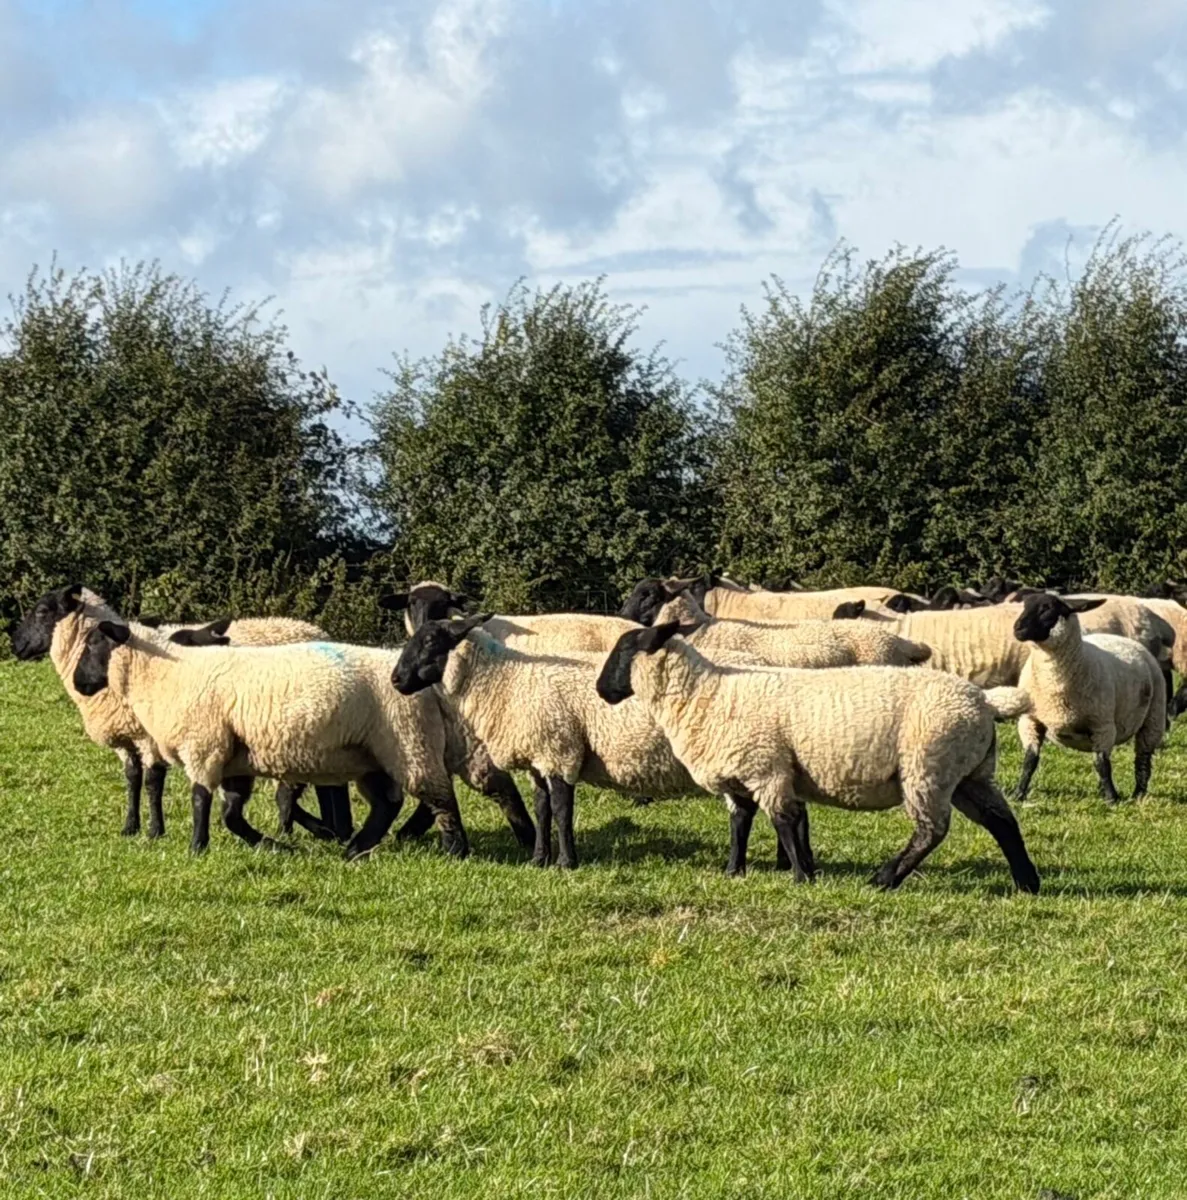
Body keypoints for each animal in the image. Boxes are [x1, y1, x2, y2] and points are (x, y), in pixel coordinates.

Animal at [71, 620, 466, 861]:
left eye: (94, 644)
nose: (79, 684)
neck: (164, 673)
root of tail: (425, 687)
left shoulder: (204, 745)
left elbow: (200, 800)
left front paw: (197, 847)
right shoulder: (232, 757)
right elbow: (231, 815)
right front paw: (275, 846)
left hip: (409, 743)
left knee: (441, 798)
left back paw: (455, 851)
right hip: (375, 755)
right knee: (387, 804)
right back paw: (355, 849)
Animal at [593, 622, 1040, 892]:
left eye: (625, 649)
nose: (601, 690)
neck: (706, 694)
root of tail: (984, 700)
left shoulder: (767, 768)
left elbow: (784, 822)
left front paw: (800, 876)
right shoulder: (743, 775)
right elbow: (741, 824)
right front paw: (734, 871)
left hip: (928, 767)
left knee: (932, 831)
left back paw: (884, 878)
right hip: (969, 772)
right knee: (1002, 821)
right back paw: (1027, 882)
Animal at [1012, 595, 1167, 805]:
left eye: (1047, 608)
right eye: (1025, 605)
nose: (1017, 628)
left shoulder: (1102, 724)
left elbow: (1102, 764)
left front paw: (1111, 799)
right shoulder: (1030, 721)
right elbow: (1030, 761)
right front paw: (1018, 794)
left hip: (1153, 718)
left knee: (1142, 759)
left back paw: (1138, 795)